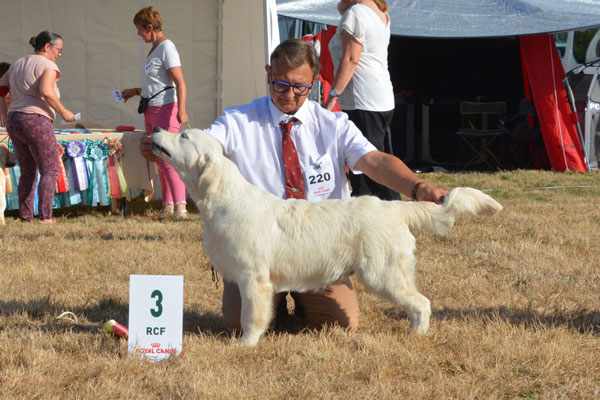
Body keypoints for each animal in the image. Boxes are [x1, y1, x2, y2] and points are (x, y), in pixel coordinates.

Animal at [149, 127, 502, 344]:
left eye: (183, 134)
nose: (154, 131)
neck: (224, 198)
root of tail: (394, 208)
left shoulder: (253, 278)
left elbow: (251, 317)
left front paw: (246, 345)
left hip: (382, 273)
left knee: (421, 303)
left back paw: (417, 336)